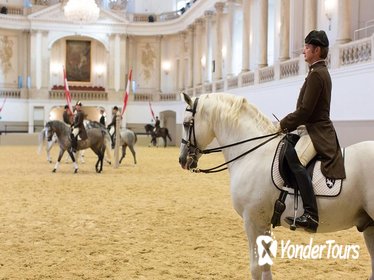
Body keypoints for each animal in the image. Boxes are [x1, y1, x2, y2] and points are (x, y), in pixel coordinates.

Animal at [178, 92, 374, 280]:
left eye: (187, 124)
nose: (182, 160)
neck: (253, 153)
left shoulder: (252, 220)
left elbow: (255, 268)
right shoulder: (264, 222)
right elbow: (266, 266)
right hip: (369, 226)